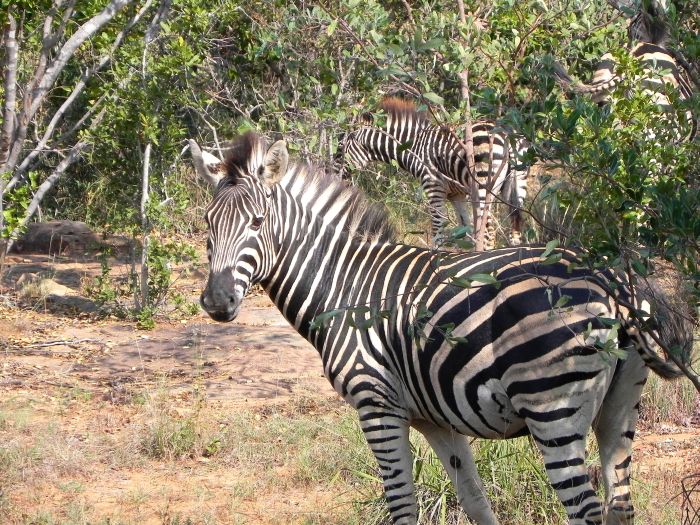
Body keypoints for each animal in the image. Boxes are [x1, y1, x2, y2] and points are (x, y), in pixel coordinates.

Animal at [200, 132, 692, 524]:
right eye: (207, 223)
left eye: (257, 222)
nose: (216, 302)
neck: (344, 285)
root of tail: (608, 280)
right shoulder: (434, 417)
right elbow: (475, 500)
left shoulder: (376, 404)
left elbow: (402, 506)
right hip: (620, 406)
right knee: (620, 505)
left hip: (553, 406)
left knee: (587, 511)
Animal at [336, 98, 528, 250]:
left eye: (340, 147)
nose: (334, 175)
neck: (413, 147)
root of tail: (508, 135)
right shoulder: (456, 195)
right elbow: (464, 230)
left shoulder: (433, 186)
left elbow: (438, 230)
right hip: (517, 185)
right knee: (516, 229)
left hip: (483, 185)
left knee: (489, 233)